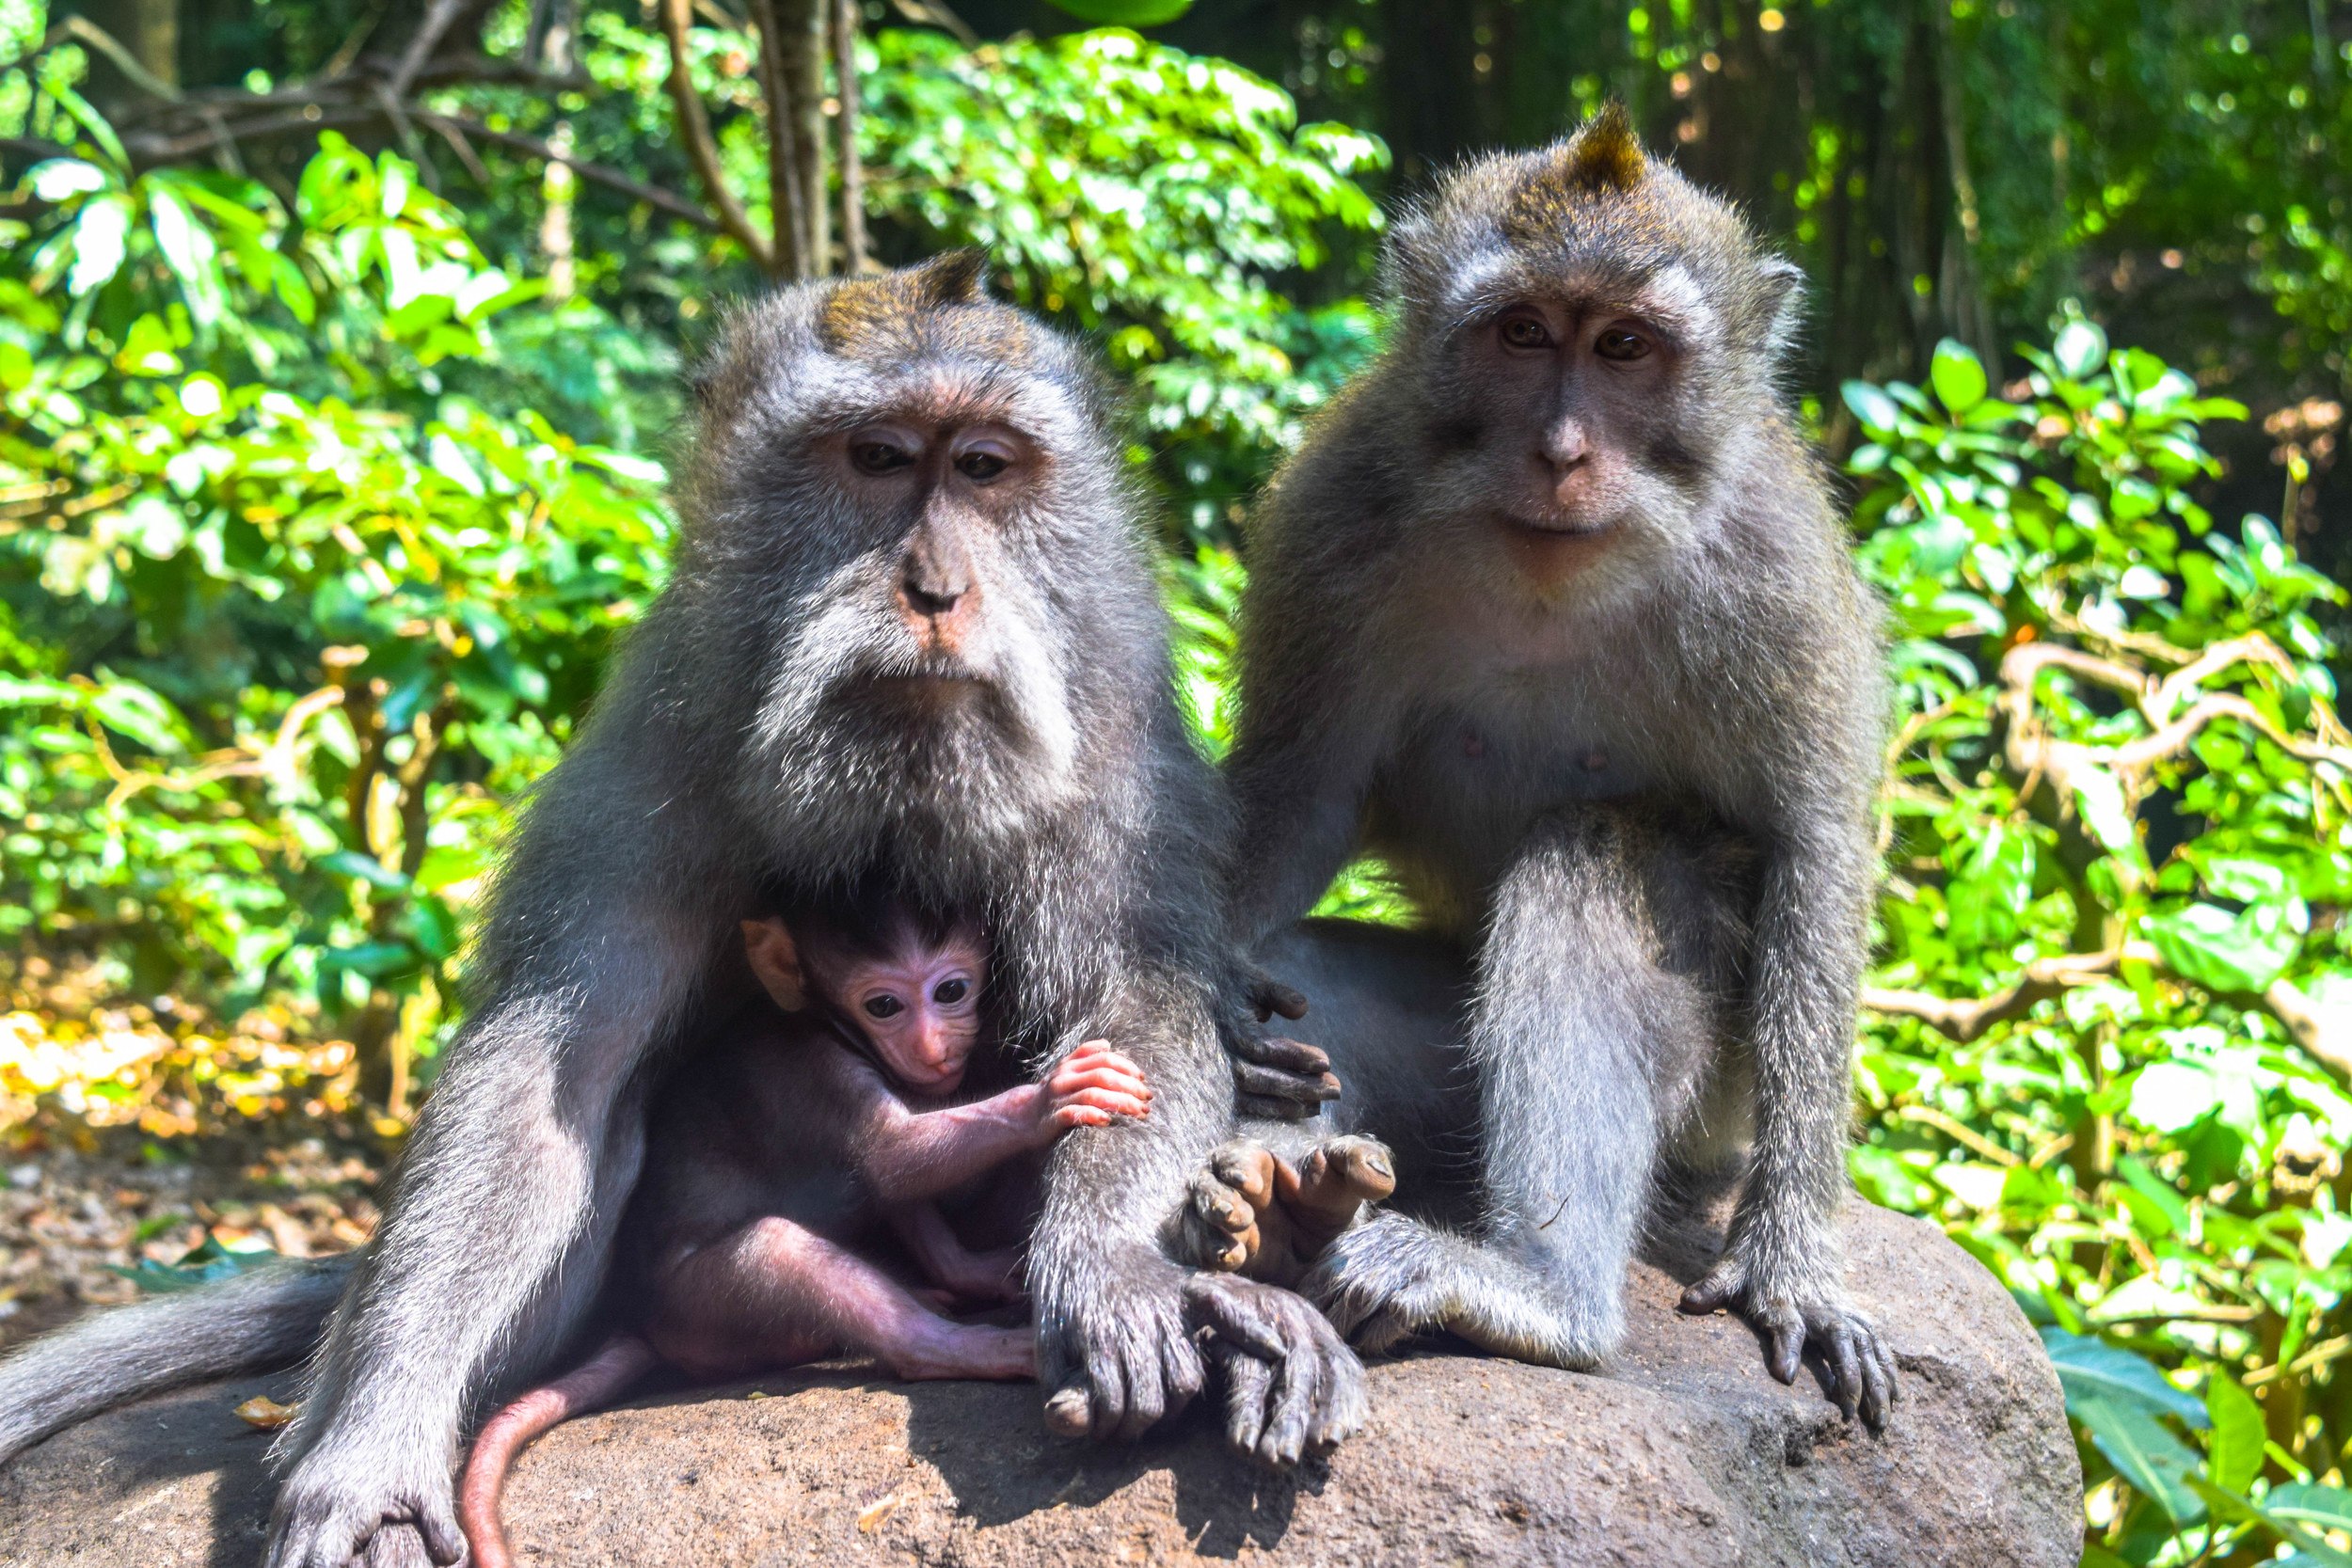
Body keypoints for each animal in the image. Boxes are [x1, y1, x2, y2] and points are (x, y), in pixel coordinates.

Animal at [453, 893, 1152, 1568]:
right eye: (883, 1004)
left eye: (951, 990)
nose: (931, 1048)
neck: (833, 1027)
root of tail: (640, 1321)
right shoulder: (816, 1071)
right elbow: (894, 1156)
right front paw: (1049, 1098)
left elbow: (898, 1193)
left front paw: (973, 1269)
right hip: (698, 1310)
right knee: (785, 1254)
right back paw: (962, 1345)